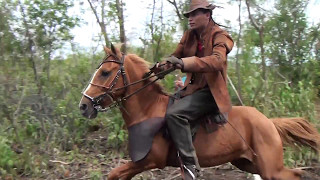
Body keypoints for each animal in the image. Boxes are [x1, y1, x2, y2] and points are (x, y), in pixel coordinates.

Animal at [79, 45, 320, 180]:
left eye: (105, 72)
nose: (84, 106)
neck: (147, 110)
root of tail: (268, 122)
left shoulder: (149, 161)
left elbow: (114, 173)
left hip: (269, 168)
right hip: (248, 162)